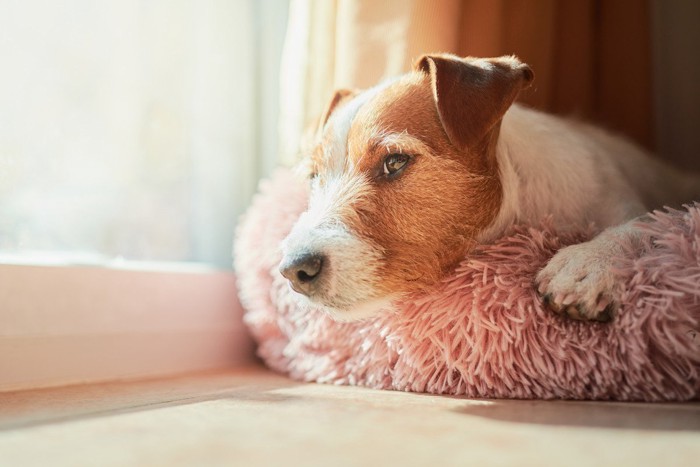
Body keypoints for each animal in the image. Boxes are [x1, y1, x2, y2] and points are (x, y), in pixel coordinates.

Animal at [278, 54, 700, 322]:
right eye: (313, 177)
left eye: (394, 162)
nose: (293, 270)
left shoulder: (628, 206)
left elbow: (640, 226)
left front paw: (587, 264)